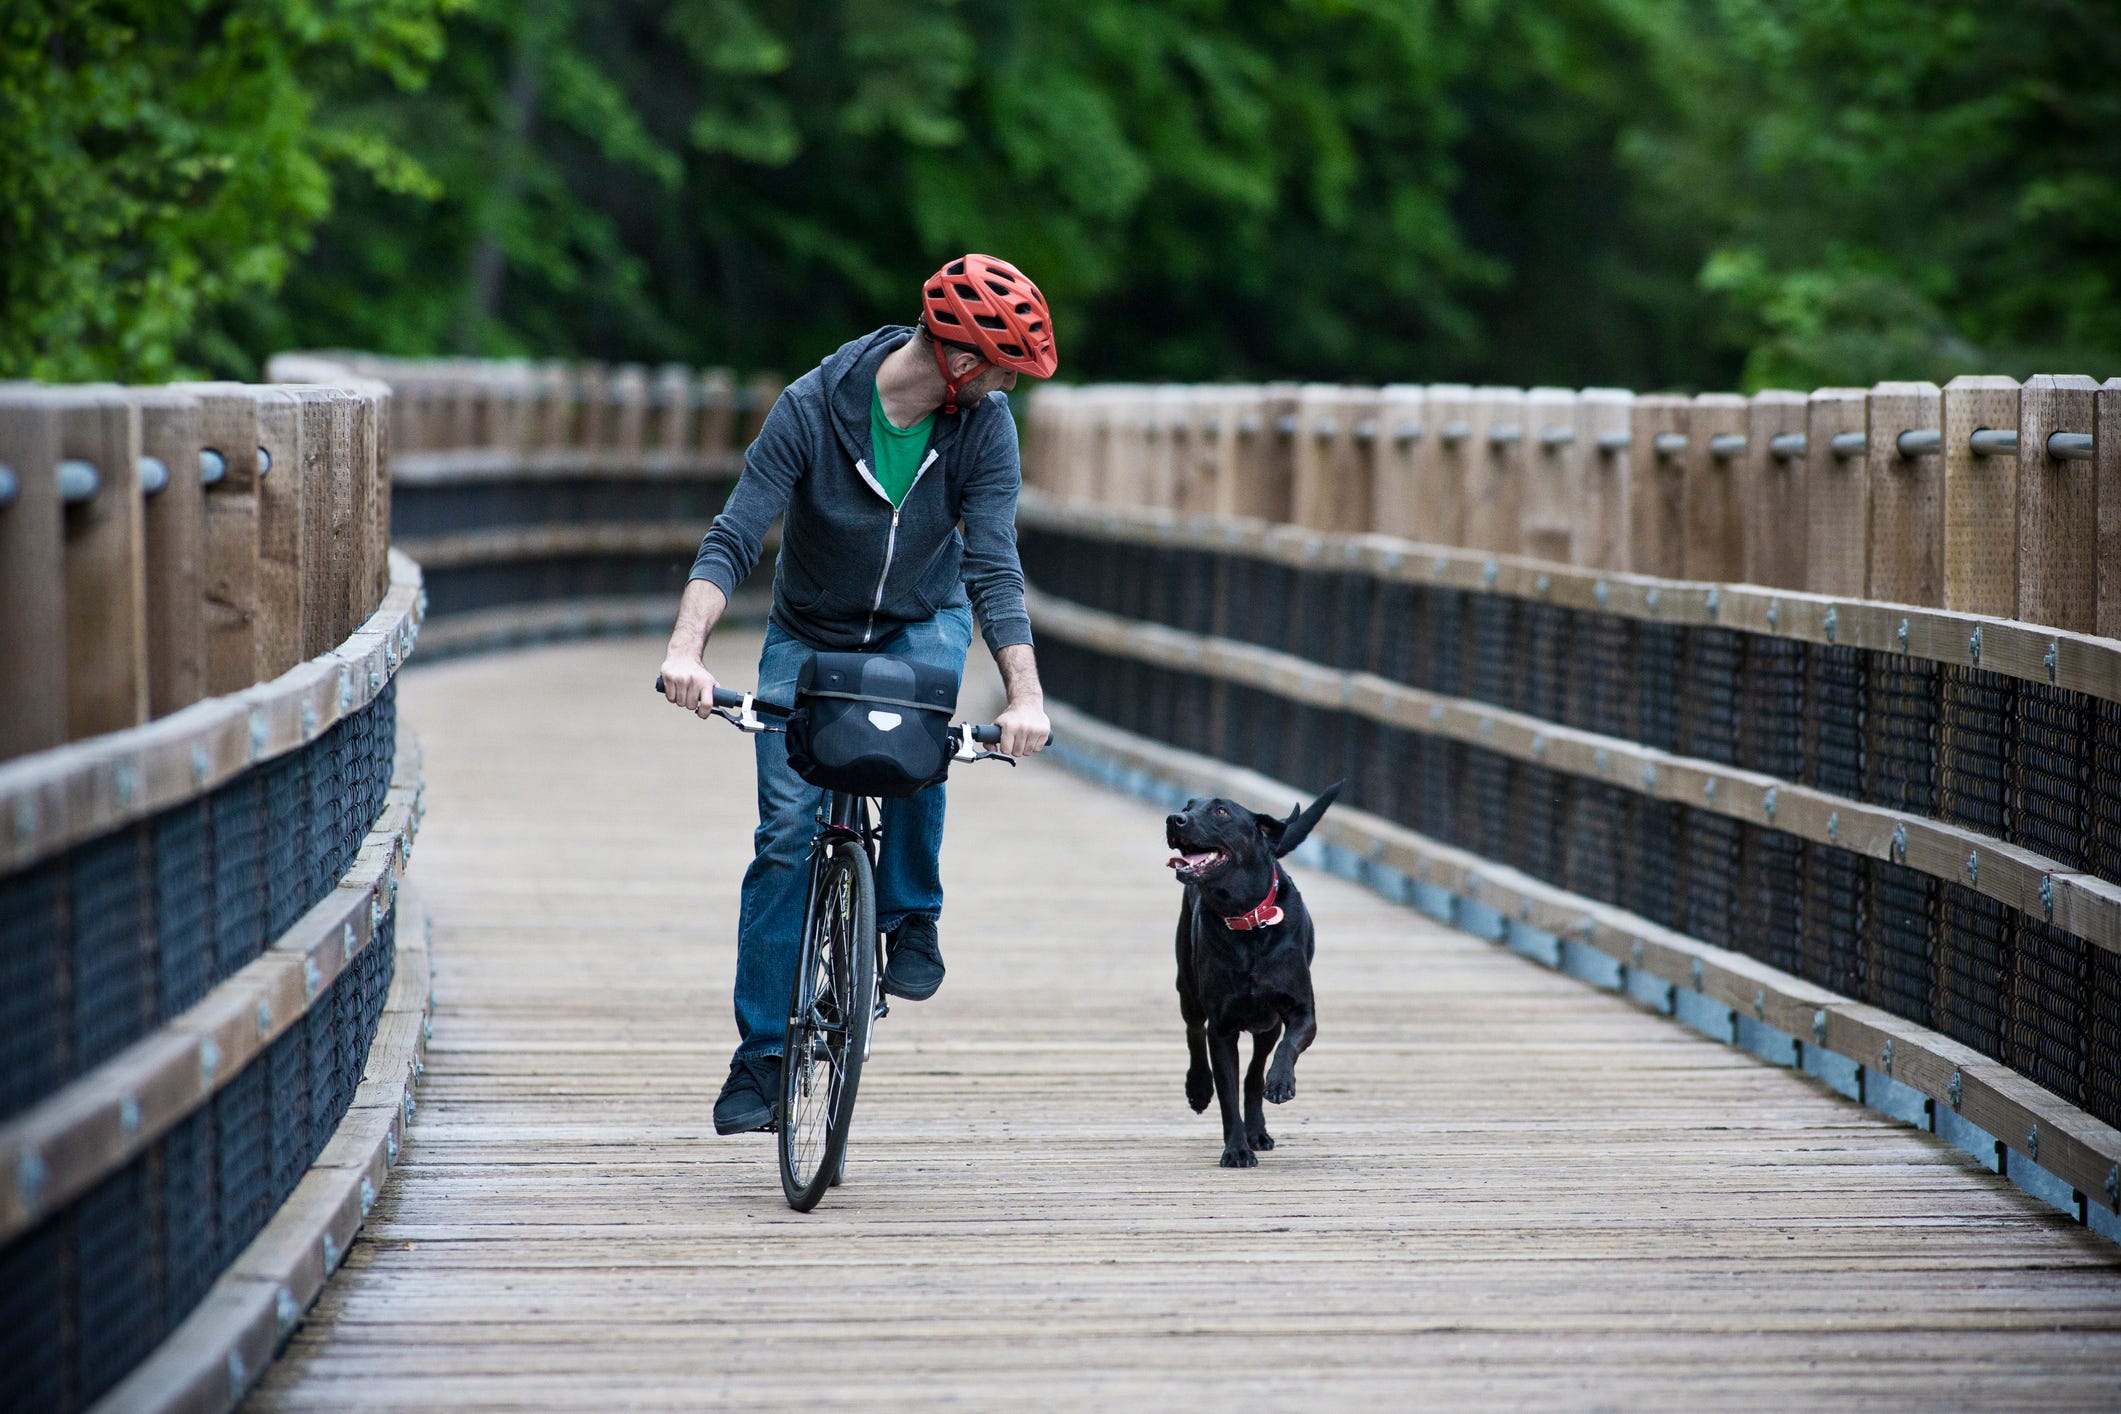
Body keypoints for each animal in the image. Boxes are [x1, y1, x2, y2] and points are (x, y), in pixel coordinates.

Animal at [1170, 780, 1331, 1170]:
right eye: (1188, 806)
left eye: (1221, 811)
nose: (1174, 818)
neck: (1246, 918)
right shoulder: (1222, 1028)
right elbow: (1227, 1094)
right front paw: (1236, 1151)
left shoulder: (1301, 1012)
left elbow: (1288, 1047)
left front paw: (1281, 1082)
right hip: (1188, 988)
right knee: (1193, 1032)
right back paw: (1198, 1089)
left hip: (1266, 1024)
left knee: (1256, 1073)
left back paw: (1259, 1127)